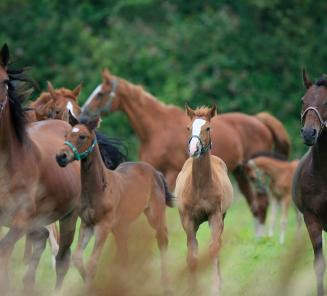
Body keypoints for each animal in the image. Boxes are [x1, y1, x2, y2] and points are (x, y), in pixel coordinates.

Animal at [55, 114, 176, 292]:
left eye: (82, 136)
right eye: (67, 135)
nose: (61, 157)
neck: (99, 189)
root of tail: (155, 172)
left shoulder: (103, 226)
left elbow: (92, 263)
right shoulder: (87, 224)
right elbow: (77, 258)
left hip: (155, 215)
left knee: (162, 240)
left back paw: (166, 284)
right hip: (121, 226)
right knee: (124, 252)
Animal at [82, 68, 292, 235]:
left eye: (101, 93)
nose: (83, 114)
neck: (157, 128)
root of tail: (260, 120)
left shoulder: (172, 172)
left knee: (261, 204)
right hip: (240, 172)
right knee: (255, 205)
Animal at [174, 105, 233, 294]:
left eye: (207, 128)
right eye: (188, 128)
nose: (194, 149)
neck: (199, 186)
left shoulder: (215, 215)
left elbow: (213, 248)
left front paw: (215, 287)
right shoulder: (188, 220)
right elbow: (192, 256)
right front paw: (193, 288)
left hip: (222, 217)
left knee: (217, 243)